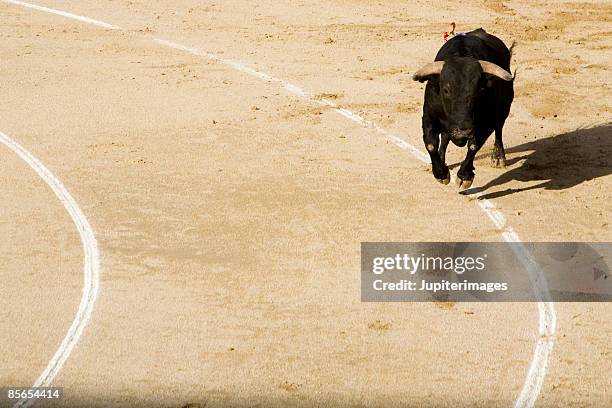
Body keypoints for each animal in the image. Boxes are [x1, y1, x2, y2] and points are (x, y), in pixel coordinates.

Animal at [412, 27, 516, 190]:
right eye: (446, 89)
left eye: (478, 90)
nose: (463, 131)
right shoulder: (429, 115)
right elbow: (431, 144)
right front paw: (441, 174)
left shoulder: (485, 122)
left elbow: (474, 145)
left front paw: (464, 177)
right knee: (445, 137)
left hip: (504, 108)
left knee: (499, 129)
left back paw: (498, 158)